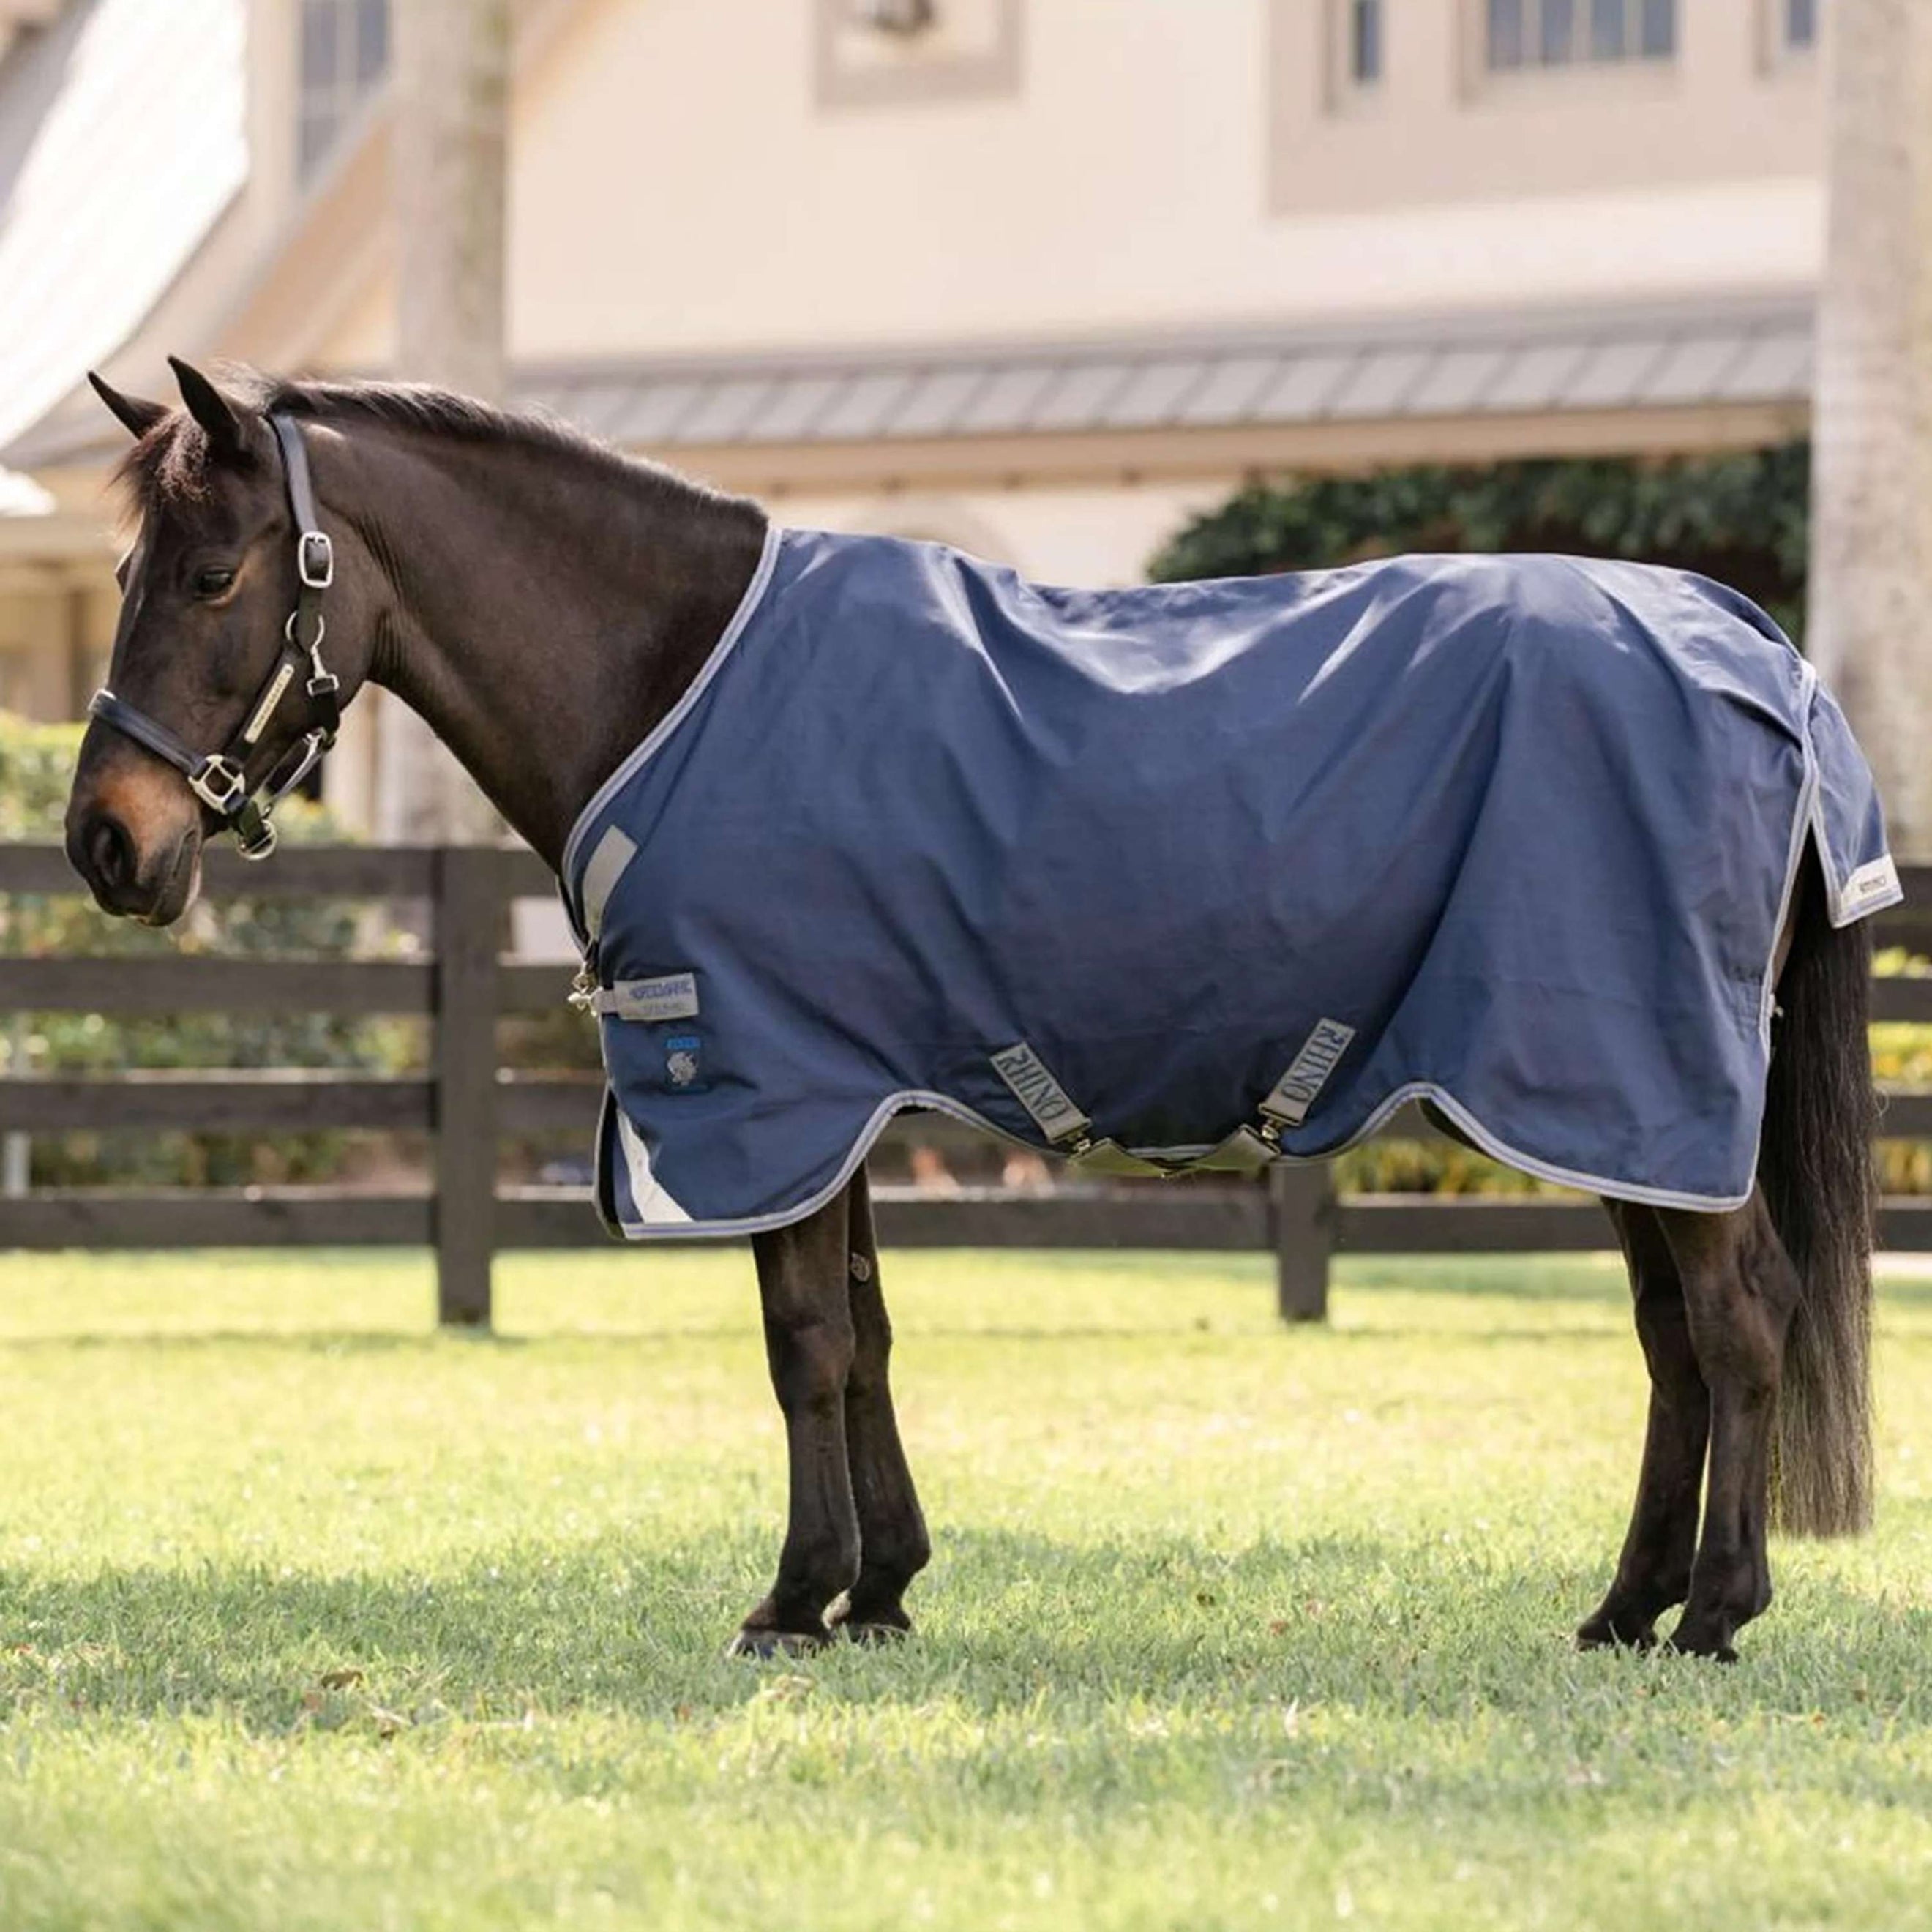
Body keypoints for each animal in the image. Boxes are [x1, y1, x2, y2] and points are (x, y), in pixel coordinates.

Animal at [64, 359, 1886, 1663]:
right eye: (126, 570)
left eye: (213, 573)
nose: (103, 842)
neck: (671, 677)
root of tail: (1760, 652)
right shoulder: (841, 1099)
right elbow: (864, 1336)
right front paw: (881, 1589)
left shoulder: (770, 1086)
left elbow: (802, 1346)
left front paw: (793, 1601)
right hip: (1615, 1107)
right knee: (1673, 1341)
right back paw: (1628, 1610)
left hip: (1631, 1078)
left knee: (1740, 1322)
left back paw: (1716, 1614)